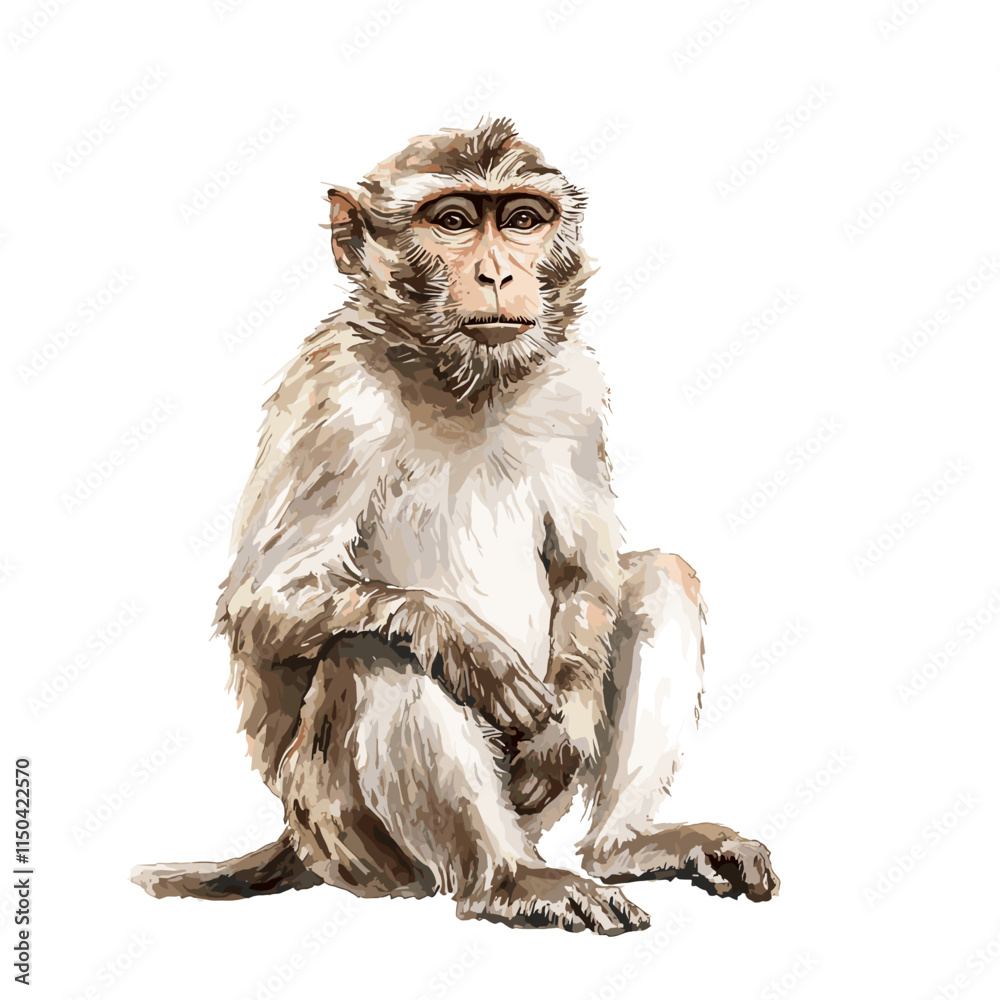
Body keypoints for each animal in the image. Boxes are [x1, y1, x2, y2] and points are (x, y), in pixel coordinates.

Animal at [131, 119, 778, 935]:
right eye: (454, 222)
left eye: (523, 220)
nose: (499, 274)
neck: (462, 378)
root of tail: (295, 838)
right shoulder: (330, 395)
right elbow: (264, 602)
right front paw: (474, 652)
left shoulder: (574, 389)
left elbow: (586, 574)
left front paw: (567, 723)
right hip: (346, 835)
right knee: (378, 648)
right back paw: (508, 880)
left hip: (525, 810)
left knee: (662, 576)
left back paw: (623, 847)